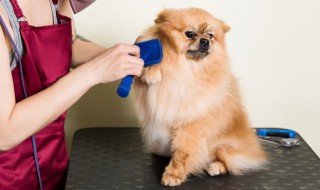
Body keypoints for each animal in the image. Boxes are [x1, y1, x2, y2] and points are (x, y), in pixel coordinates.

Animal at [131, 7, 266, 187]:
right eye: (190, 33)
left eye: (210, 35)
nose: (205, 41)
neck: (186, 67)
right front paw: (152, 72)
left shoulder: (191, 123)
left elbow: (183, 152)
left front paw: (173, 174)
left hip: (225, 146)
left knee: (230, 160)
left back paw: (216, 166)